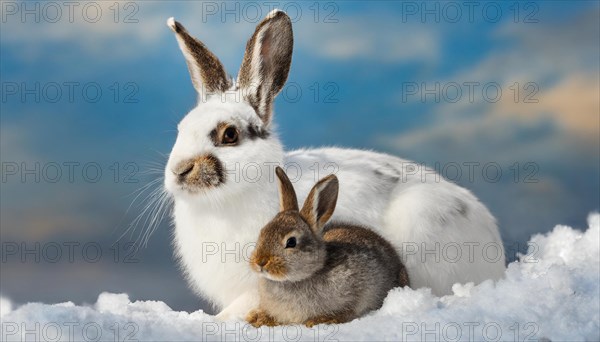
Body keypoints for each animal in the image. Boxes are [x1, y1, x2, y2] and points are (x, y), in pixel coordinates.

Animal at [246, 167, 410, 328]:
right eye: (263, 231)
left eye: (291, 242)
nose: (260, 262)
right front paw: (257, 318)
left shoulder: (355, 293)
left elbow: (347, 311)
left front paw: (321, 320)